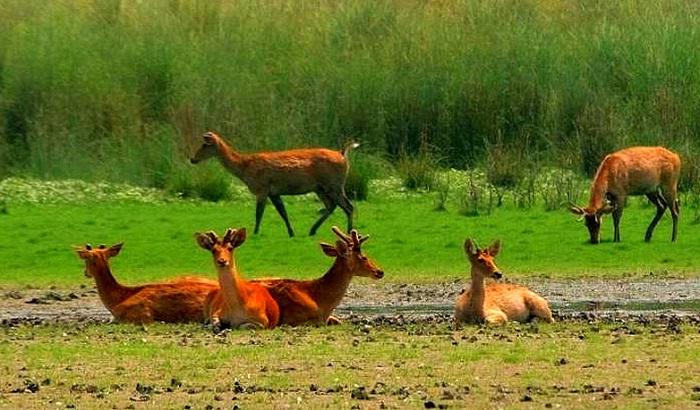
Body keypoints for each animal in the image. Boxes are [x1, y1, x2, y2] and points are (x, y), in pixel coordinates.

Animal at [190, 131, 358, 237]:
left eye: (205, 145)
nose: (192, 159)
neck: (244, 168)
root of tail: (342, 154)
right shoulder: (274, 192)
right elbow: (283, 213)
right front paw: (291, 232)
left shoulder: (262, 188)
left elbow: (258, 213)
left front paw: (254, 233)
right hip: (320, 187)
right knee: (332, 206)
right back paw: (312, 230)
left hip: (334, 184)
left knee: (348, 206)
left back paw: (349, 232)